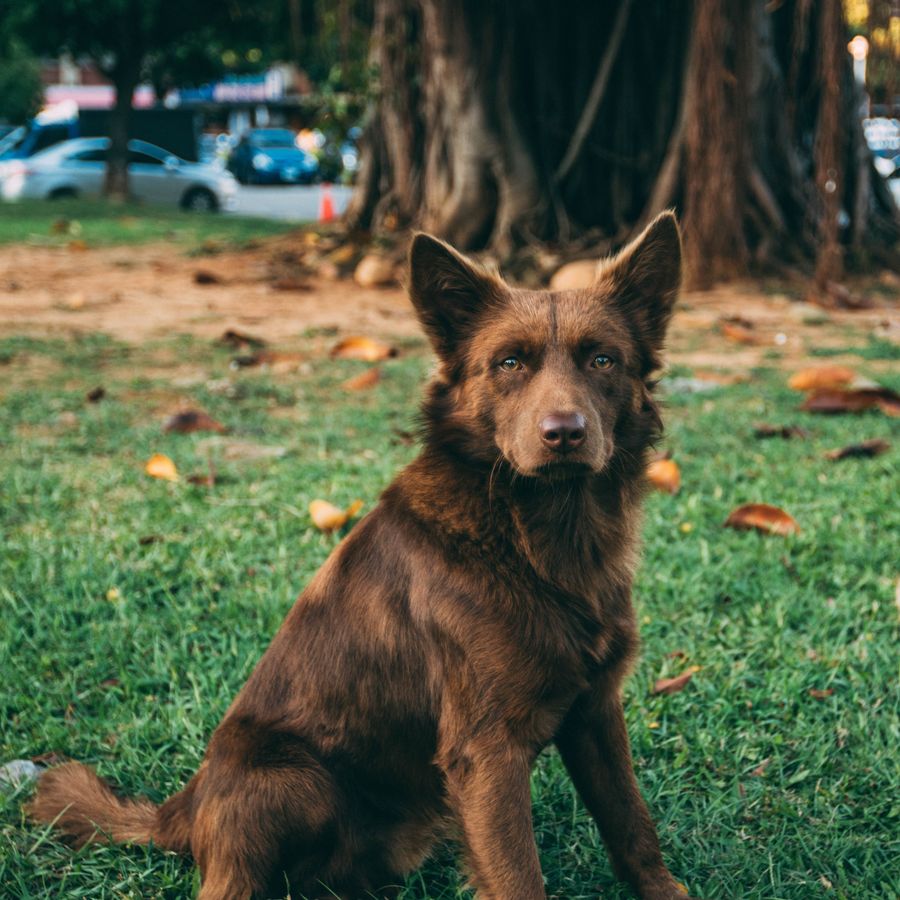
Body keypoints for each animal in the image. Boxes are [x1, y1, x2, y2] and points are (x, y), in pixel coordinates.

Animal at [26, 213, 688, 900]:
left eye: (603, 359)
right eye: (509, 363)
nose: (564, 434)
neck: (541, 536)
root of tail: (181, 809)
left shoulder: (596, 714)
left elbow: (633, 826)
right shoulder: (485, 749)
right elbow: (518, 876)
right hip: (290, 778)